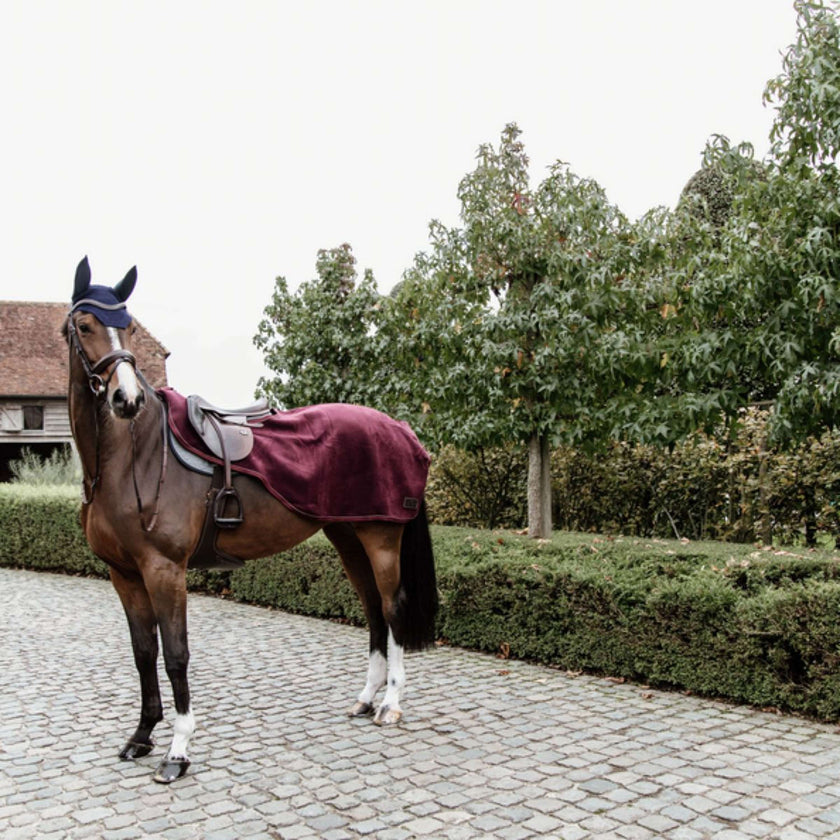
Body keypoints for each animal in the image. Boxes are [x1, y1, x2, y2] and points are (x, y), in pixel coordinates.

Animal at [62, 256, 436, 780]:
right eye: (84, 324)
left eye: (129, 326)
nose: (126, 399)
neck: (133, 457)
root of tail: (401, 429)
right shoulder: (124, 574)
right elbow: (143, 653)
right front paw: (140, 737)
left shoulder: (164, 571)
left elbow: (175, 655)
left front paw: (178, 750)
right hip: (349, 538)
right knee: (373, 614)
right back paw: (366, 699)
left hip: (381, 540)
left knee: (393, 609)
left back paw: (391, 705)